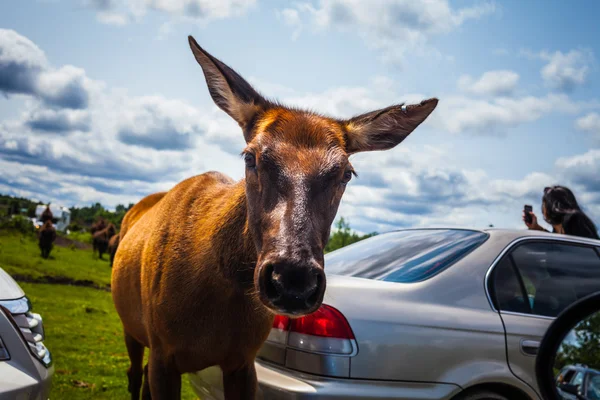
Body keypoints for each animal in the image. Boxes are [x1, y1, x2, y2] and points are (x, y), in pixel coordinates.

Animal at [112, 35, 438, 400]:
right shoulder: (162, 352)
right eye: (250, 157)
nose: (292, 279)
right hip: (131, 327)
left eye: (346, 173)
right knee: (133, 374)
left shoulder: (242, 360)